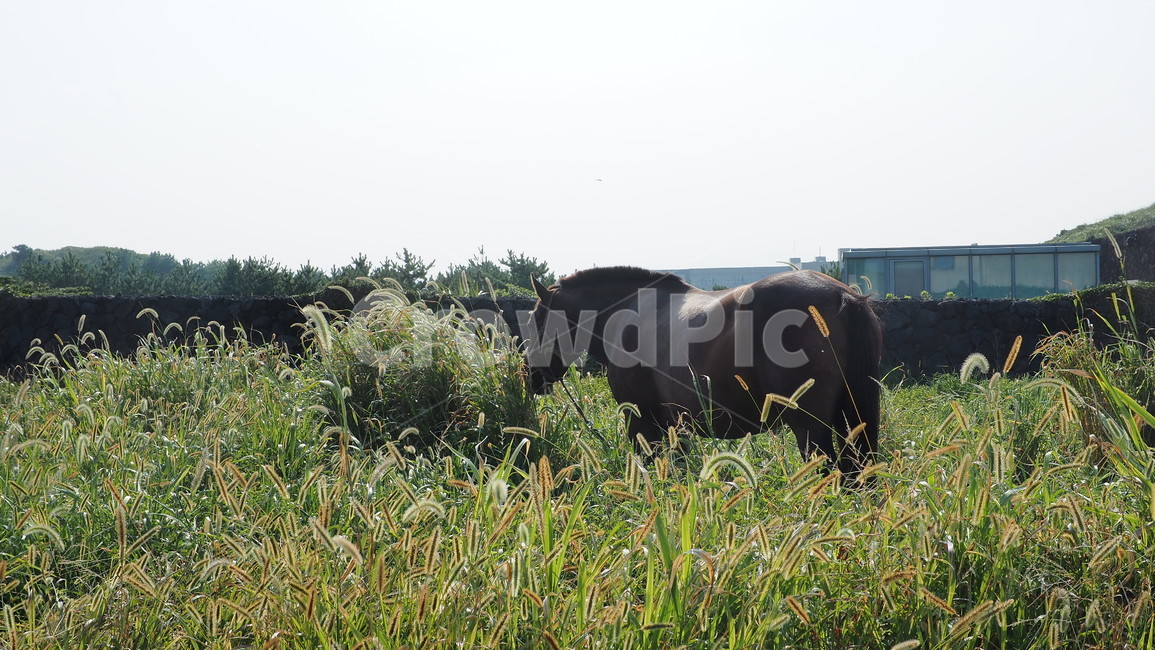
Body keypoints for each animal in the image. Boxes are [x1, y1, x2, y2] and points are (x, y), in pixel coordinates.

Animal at [524, 266, 882, 483]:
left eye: (536, 320)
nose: (531, 375)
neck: (629, 315)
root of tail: (842, 295)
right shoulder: (674, 425)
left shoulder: (642, 422)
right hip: (849, 419)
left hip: (810, 426)